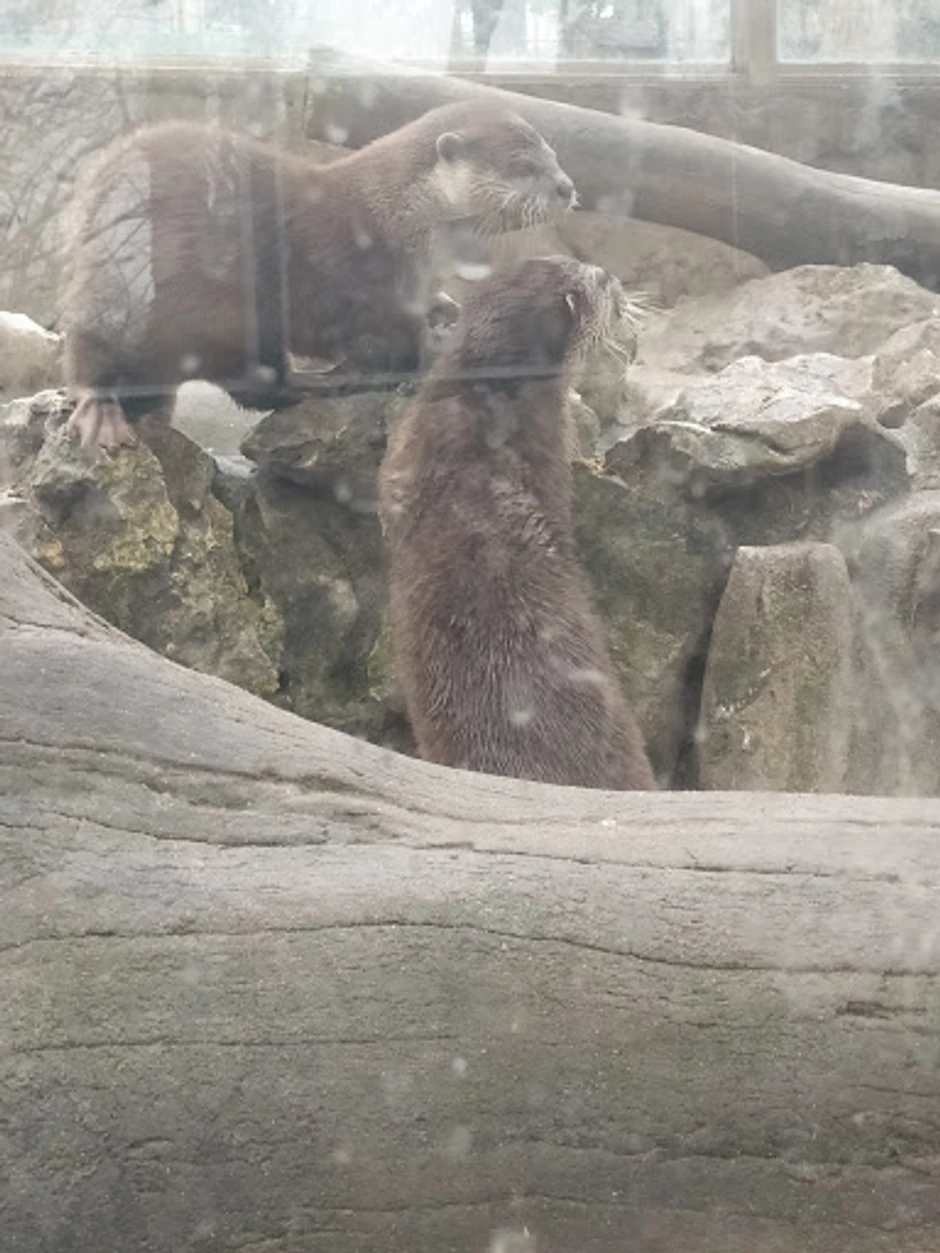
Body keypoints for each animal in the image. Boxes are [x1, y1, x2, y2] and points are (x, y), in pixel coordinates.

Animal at [60, 101, 576, 452]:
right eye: (522, 165)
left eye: (554, 155)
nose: (567, 186)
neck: (398, 221)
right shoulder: (366, 282)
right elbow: (390, 344)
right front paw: (436, 349)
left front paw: (447, 309)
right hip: (155, 299)